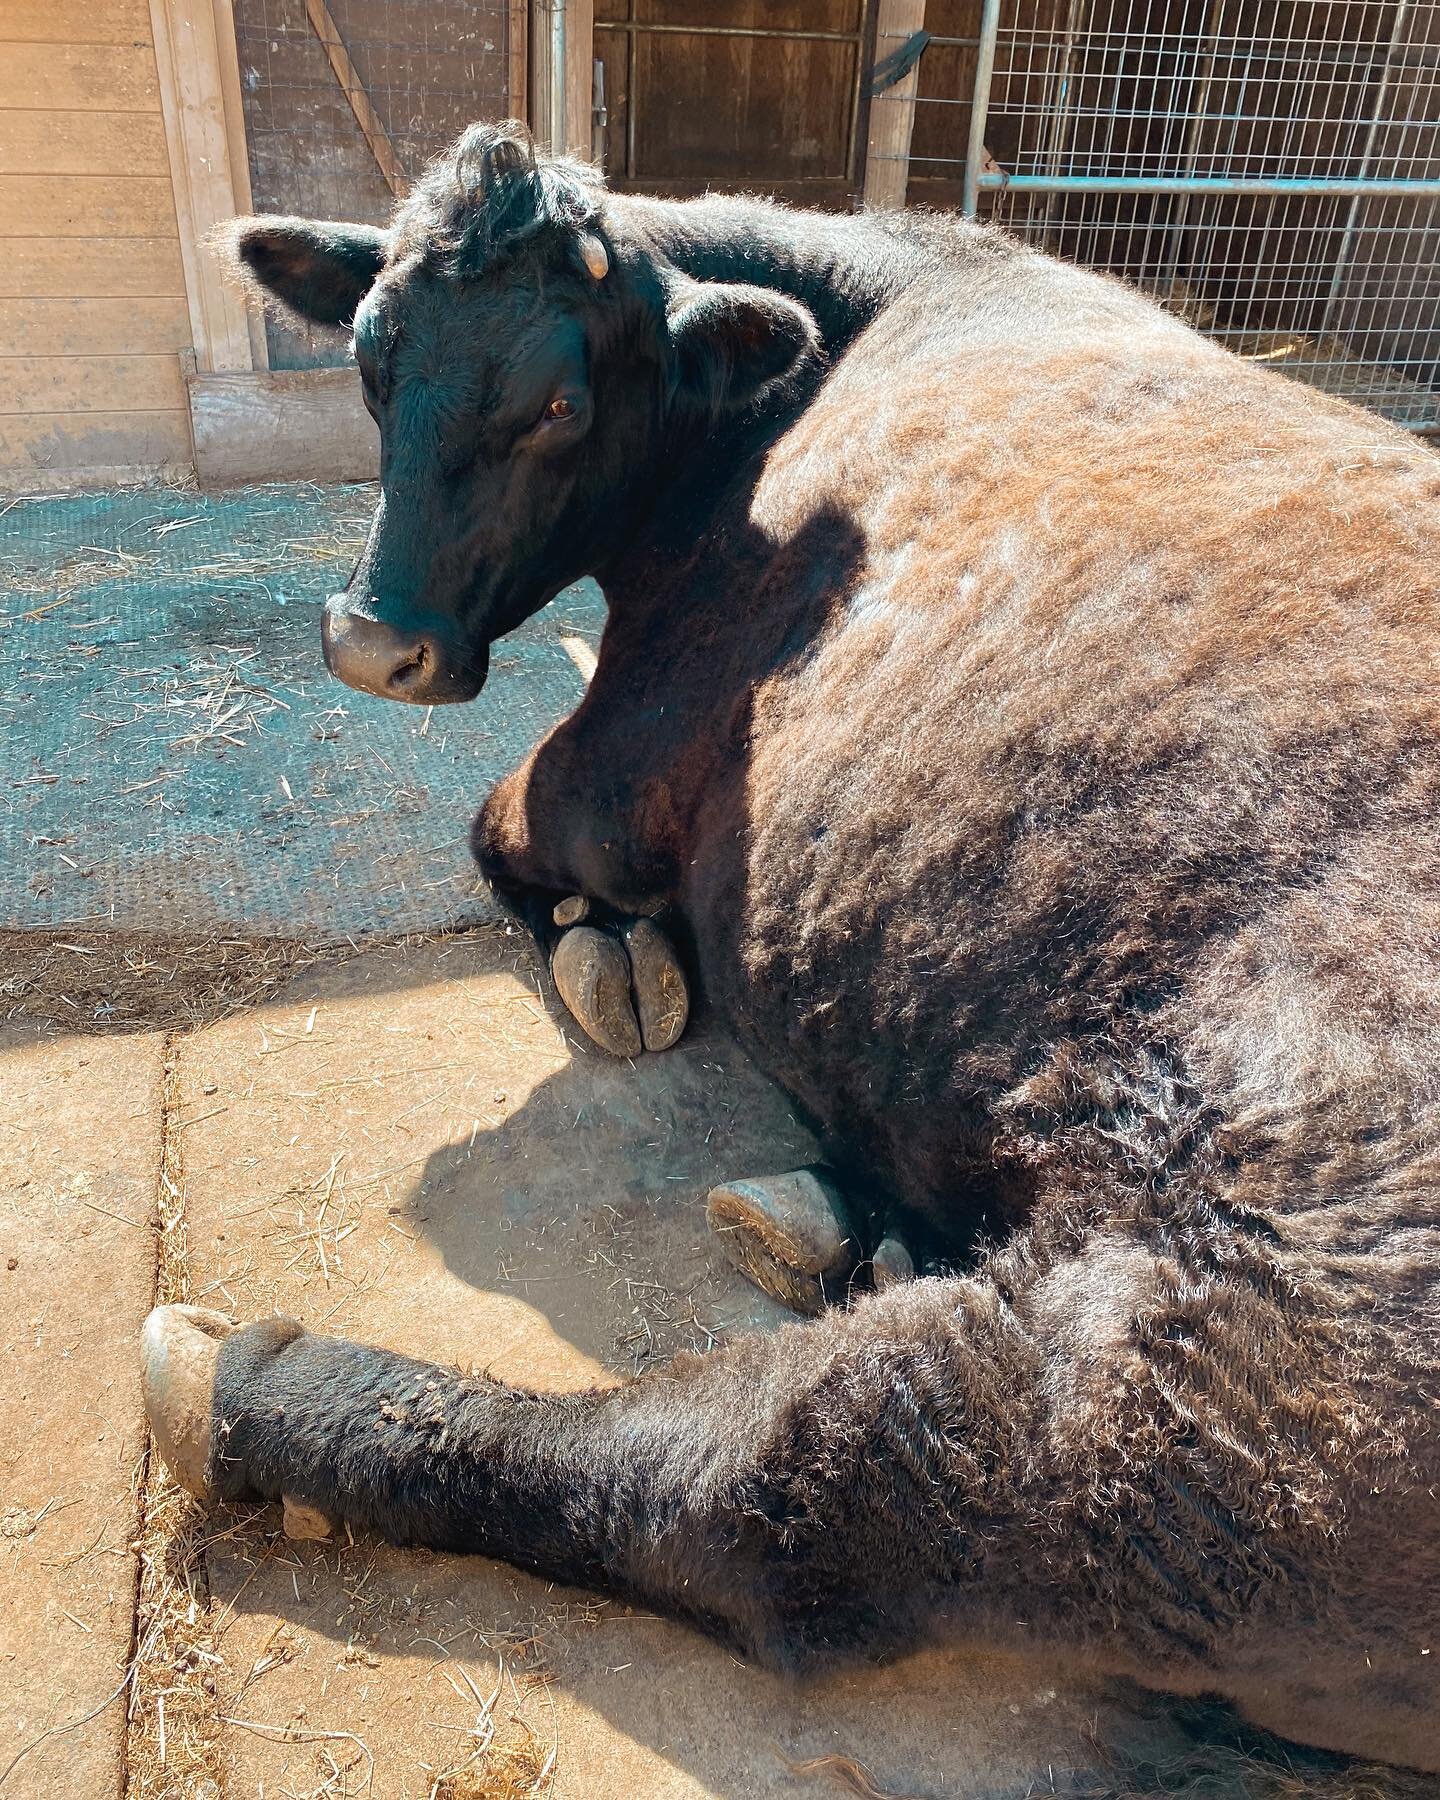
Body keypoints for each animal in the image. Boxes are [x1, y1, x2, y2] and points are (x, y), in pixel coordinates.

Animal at [140, 123, 1440, 1771]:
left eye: (561, 402)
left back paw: (249, 1383)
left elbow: (497, 838)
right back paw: (851, 1225)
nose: (377, 644)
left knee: (757, 1486)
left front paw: (605, 953)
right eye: (371, 361)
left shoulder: (606, 766)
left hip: (1229, 1380)